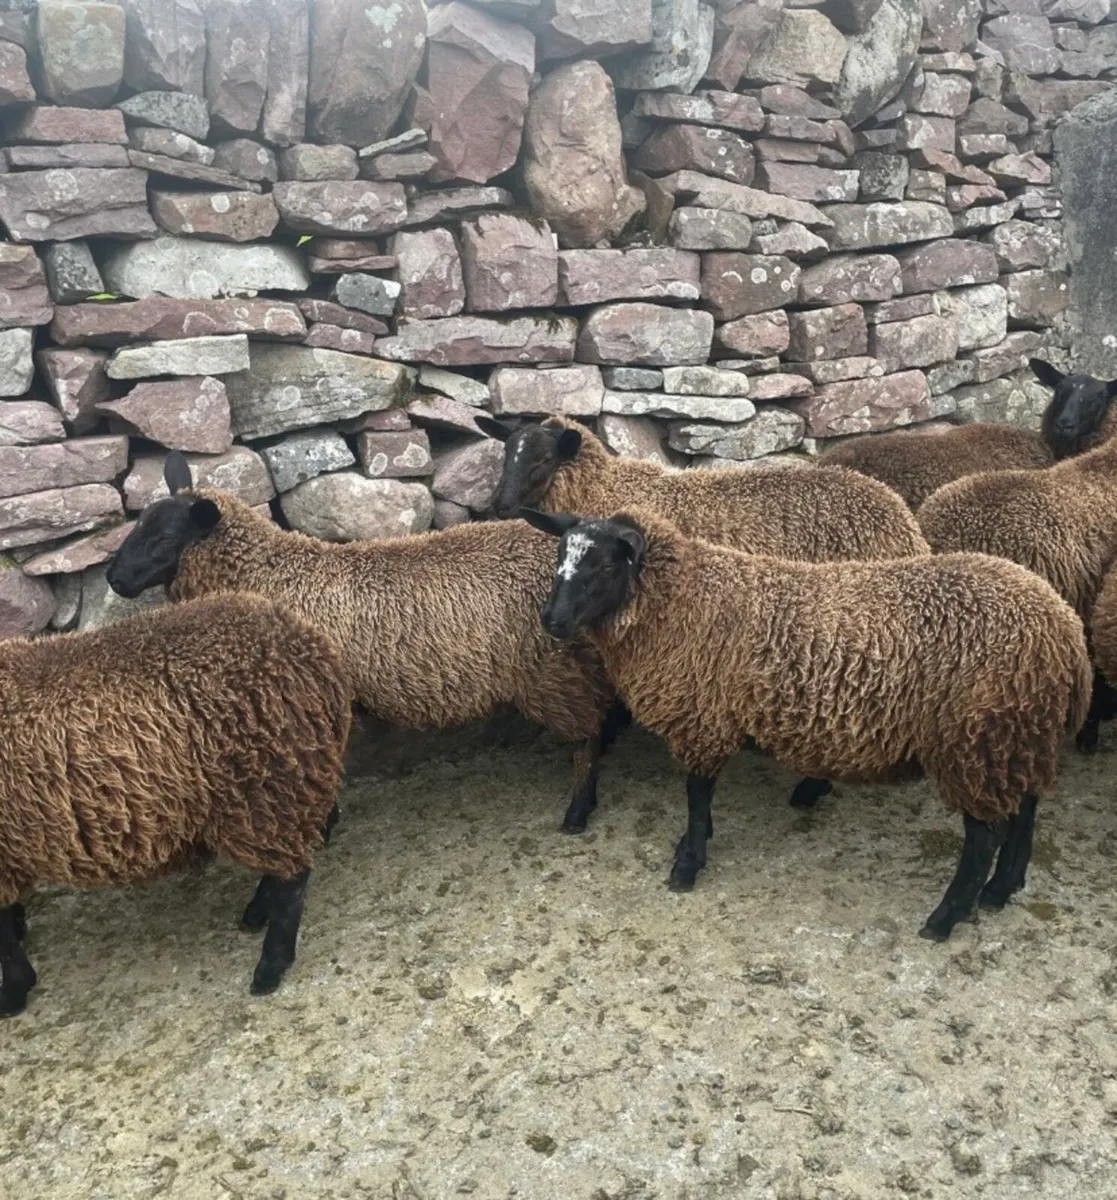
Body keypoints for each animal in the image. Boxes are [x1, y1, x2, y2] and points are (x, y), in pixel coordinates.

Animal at [0, 592, 351, 1015]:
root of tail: (315, 652)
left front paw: (12, 994)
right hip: (274, 796)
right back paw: (255, 916)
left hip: (267, 788)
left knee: (292, 880)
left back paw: (269, 967)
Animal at [106, 452, 618, 835]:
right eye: (140, 524)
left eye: (165, 536)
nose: (114, 578)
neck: (269, 576)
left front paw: (324, 824)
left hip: (552, 668)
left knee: (586, 732)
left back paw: (579, 808)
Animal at [520, 505, 1090, 941]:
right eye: (560, 557)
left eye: (603, 566)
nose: (553, 621)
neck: (684, 601)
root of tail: (1063, 628)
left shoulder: (703, 717)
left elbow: (697, 795)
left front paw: (687, 863)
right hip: (1018, 733)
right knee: (1026, 809)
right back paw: (1001, 889)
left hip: (976, 739)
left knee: (983, 836)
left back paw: (946, 918)